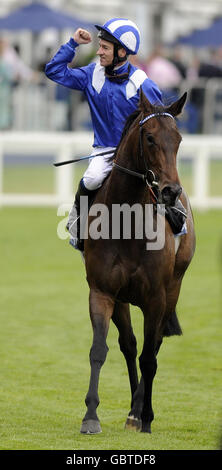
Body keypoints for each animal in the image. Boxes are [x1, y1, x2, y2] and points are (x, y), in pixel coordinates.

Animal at [79, 90, 195, 436]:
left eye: (178, 139)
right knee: (129, 346)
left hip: (174, 288)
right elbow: (101, 350)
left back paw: (143, 413)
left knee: (152, 347)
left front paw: (144, 416)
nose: (171, 191)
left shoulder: (156, 297)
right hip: (123, 300)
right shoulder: (103, 292)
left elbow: (149, 356)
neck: (126, 223)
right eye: (150, 137)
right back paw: (133, 409)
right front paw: (91, 415)